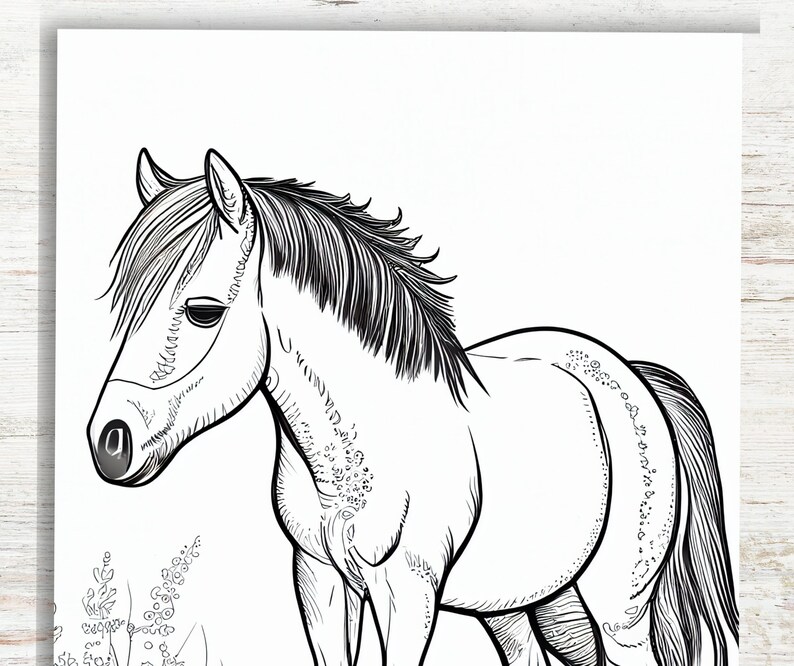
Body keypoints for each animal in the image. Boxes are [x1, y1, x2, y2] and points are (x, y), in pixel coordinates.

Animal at [87, 149, 738, 666]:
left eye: (202, 311)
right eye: (123, 302)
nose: (109, 442)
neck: (356, 451)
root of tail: (631, 375)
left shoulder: (408, 596)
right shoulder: (318, 583)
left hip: (617, 608)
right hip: (521, 601)